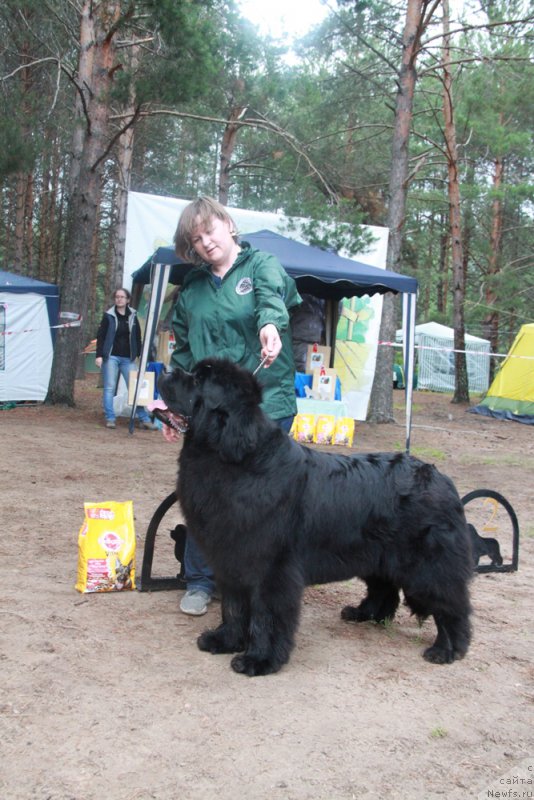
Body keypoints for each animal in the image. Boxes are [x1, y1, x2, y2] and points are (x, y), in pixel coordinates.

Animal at [157, 358, 476, 676]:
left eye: (198, 381)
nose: (166, 369)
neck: (232, 458)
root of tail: (441, 479)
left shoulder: (271, 569)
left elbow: (265, 616)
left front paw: (258, 659)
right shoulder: (230, 559)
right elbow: (233, 608)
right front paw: (224, 640)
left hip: (428, 567)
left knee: (451, 606)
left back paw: (446, 649)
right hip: (377, 554)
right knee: (384, 589)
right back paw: (364, 614)